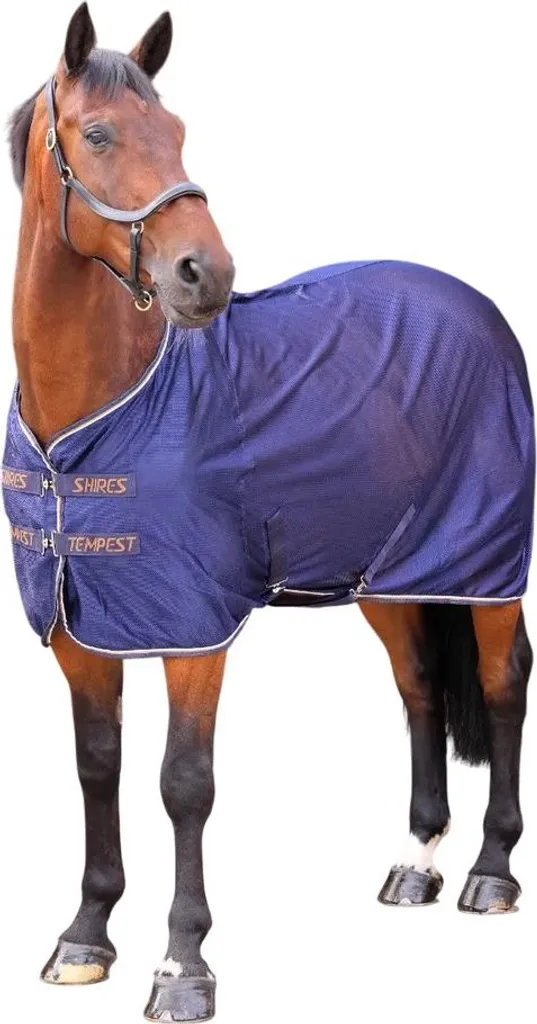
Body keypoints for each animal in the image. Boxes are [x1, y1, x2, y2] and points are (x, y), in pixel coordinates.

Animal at [3, 4, 534, 1022]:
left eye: (178, 132)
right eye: (98, 134)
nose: (202, 274)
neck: (93, 413)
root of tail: (476, 307)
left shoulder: (194, 630)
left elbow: (184, 784)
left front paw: (183, 967)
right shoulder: (81, 627)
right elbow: (98, 766)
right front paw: (85, 937)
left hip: (484, 568)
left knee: (499, 683)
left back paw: (489, 872)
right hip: (385, 577)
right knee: (417, 686)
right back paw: (414, 862)